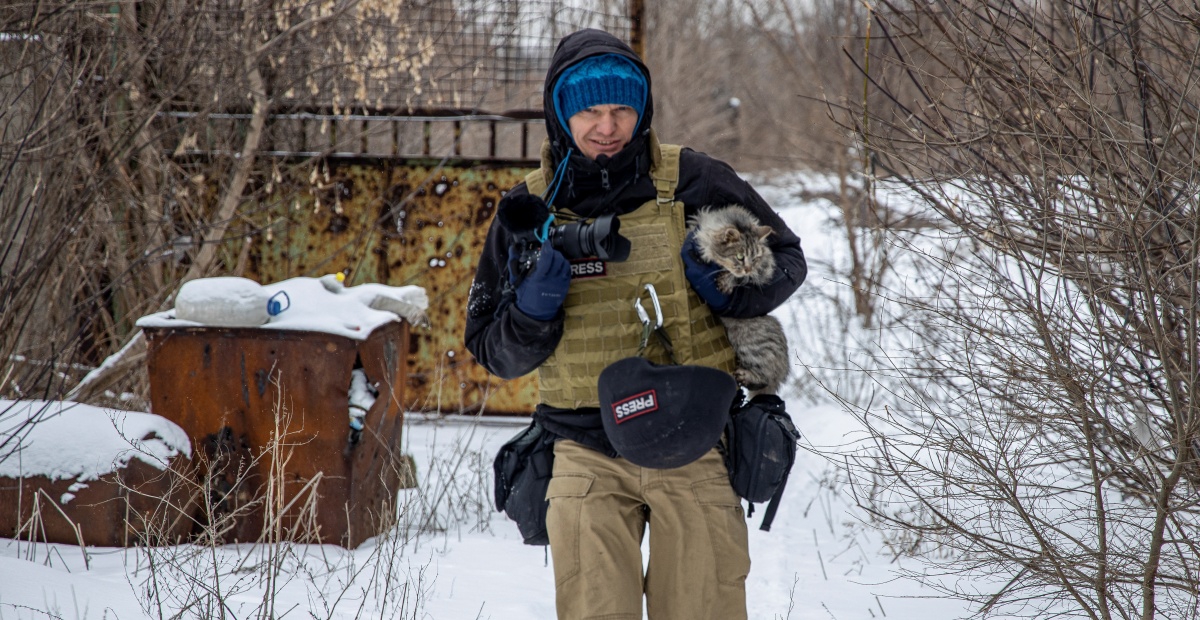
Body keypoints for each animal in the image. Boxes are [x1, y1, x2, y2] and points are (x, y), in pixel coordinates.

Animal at [691, 205, 792, 393]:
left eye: (755, 258)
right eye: (739, 256)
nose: (748, 268)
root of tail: (783, 369)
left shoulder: (765, 266)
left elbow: (743, 277)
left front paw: (728, 280)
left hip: (751, 343)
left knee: (764, 377)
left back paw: (746, 376)